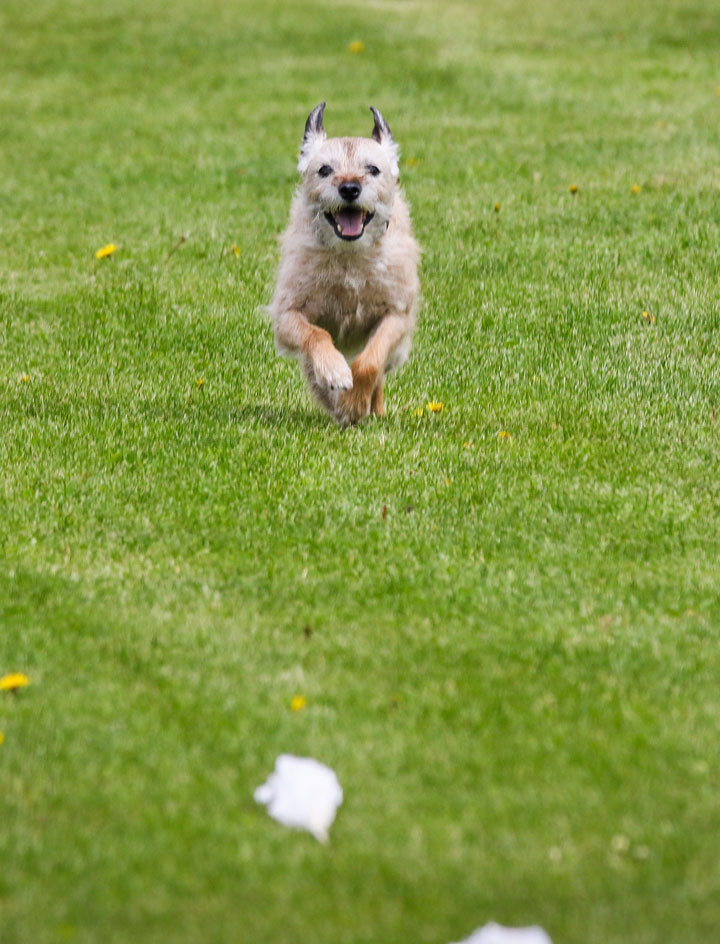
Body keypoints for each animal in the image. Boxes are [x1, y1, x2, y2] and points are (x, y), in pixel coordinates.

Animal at [268, 102, 420, 426]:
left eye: (373, 169)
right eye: (325, 169)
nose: (350, 188)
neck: (351, 256)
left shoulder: (395, 316)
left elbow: (370, 361)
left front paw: (354, 403)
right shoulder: (288, 316)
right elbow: (316, 334)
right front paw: (334, 372)